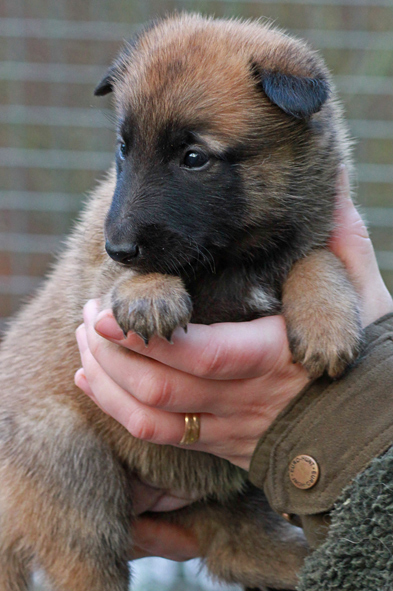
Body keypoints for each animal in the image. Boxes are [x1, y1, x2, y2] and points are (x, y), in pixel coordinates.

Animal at [0, 12, 362, 591]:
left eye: (194, 158)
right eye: (124, 148)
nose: (119, 246)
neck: (236, 258)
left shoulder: (310, 231)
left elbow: (316, 258)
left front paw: (327, 322)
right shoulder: (98, 273)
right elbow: (129, 276)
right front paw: (148, 292)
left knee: (239, 548)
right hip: (71, 462)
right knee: (88, 561)